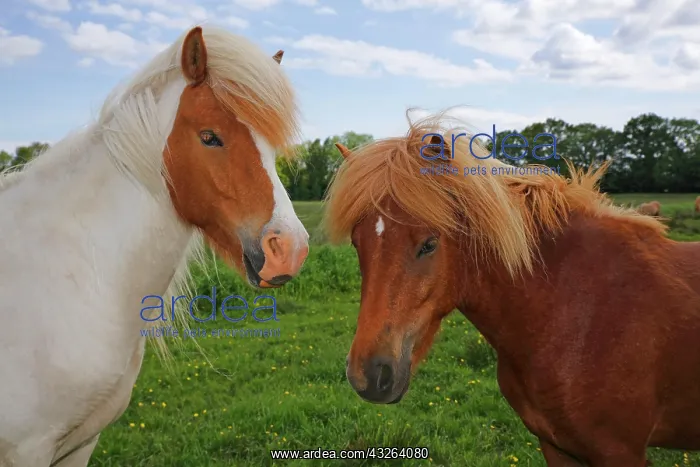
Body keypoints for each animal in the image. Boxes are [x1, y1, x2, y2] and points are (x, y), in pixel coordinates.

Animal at [323, 112, 700, 466]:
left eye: (429, 244)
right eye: (357, 244)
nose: (368, 376)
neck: (573, 309)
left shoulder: (620, 452)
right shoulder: (556, 446)